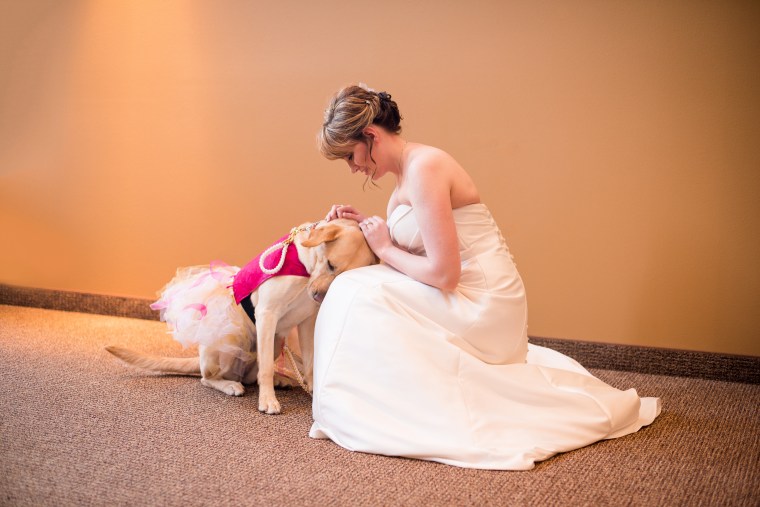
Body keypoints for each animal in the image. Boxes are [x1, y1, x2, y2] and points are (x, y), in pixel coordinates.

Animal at [107, 220, 378, 414]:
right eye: (331, 265)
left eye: (341, 276)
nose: (318, 296)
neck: (305, 268)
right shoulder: (267, 313)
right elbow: (265, 368)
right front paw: (268, 401)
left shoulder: (306, 323)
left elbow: (310, 363)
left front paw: (311, 390)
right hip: (232, 342)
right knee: (209, 378)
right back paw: (231, 385)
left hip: (276, 341)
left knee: (251, 375)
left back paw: (281, 379)